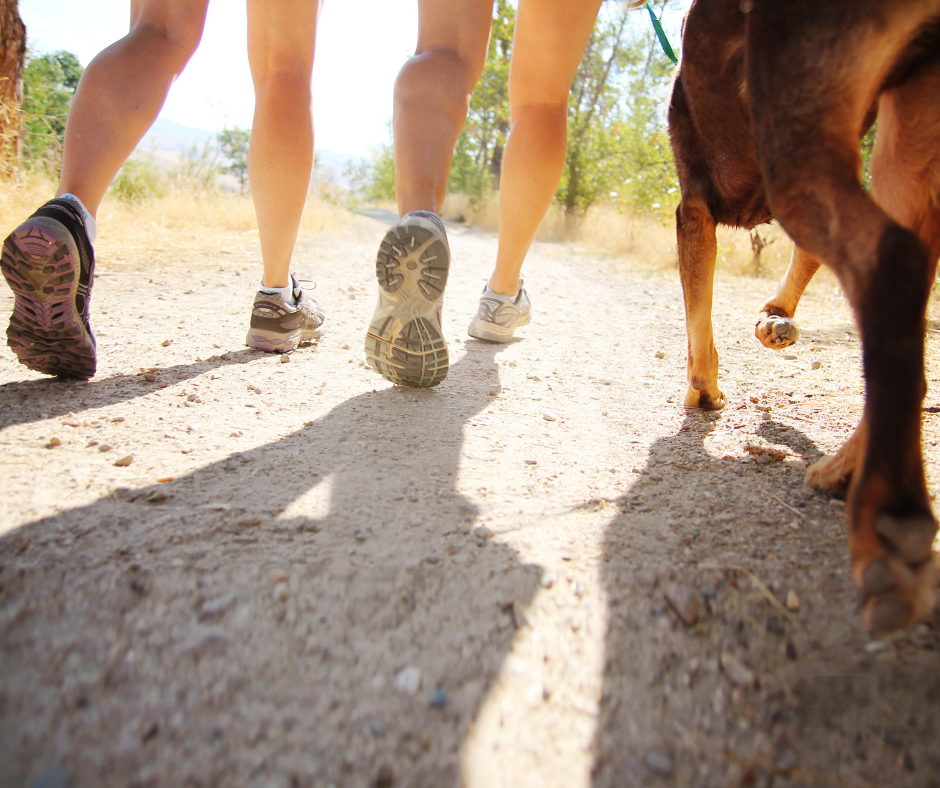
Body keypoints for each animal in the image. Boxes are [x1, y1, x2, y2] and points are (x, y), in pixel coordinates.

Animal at [668, 0, 940, 636]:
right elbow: (805, 259)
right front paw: (776, 320)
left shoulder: (693, 210)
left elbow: (699, 324)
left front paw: (703, 391)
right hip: (905, 137)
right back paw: (844, 469)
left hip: (800, 139)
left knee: (893, 262)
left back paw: (890, 518)